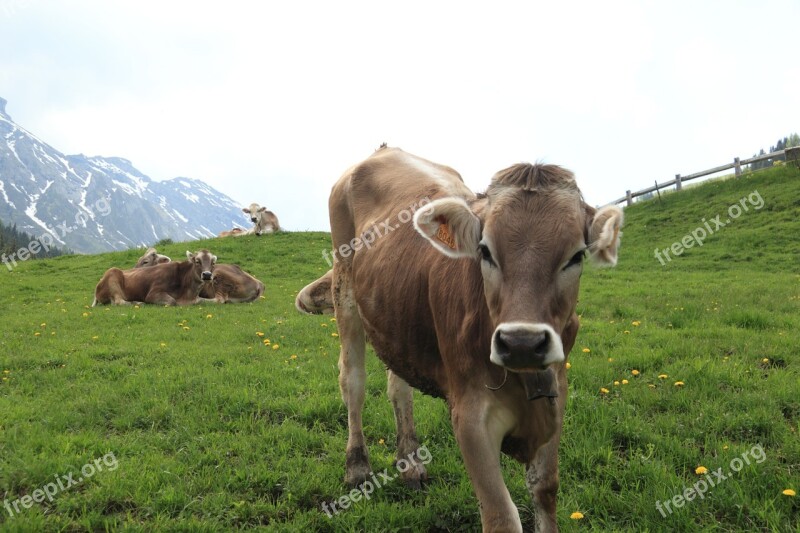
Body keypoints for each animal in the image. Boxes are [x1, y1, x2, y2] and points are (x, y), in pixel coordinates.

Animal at [328, 145, 620, 532]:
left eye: (576, 255)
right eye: (485, 251)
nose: (522, 343)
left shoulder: (556, 396)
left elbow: (546, 491)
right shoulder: (469, 416)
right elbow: (501, 515)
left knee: (399, 387)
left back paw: (410, 461)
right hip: (344, 291)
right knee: (353, 382)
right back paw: (357, 467)